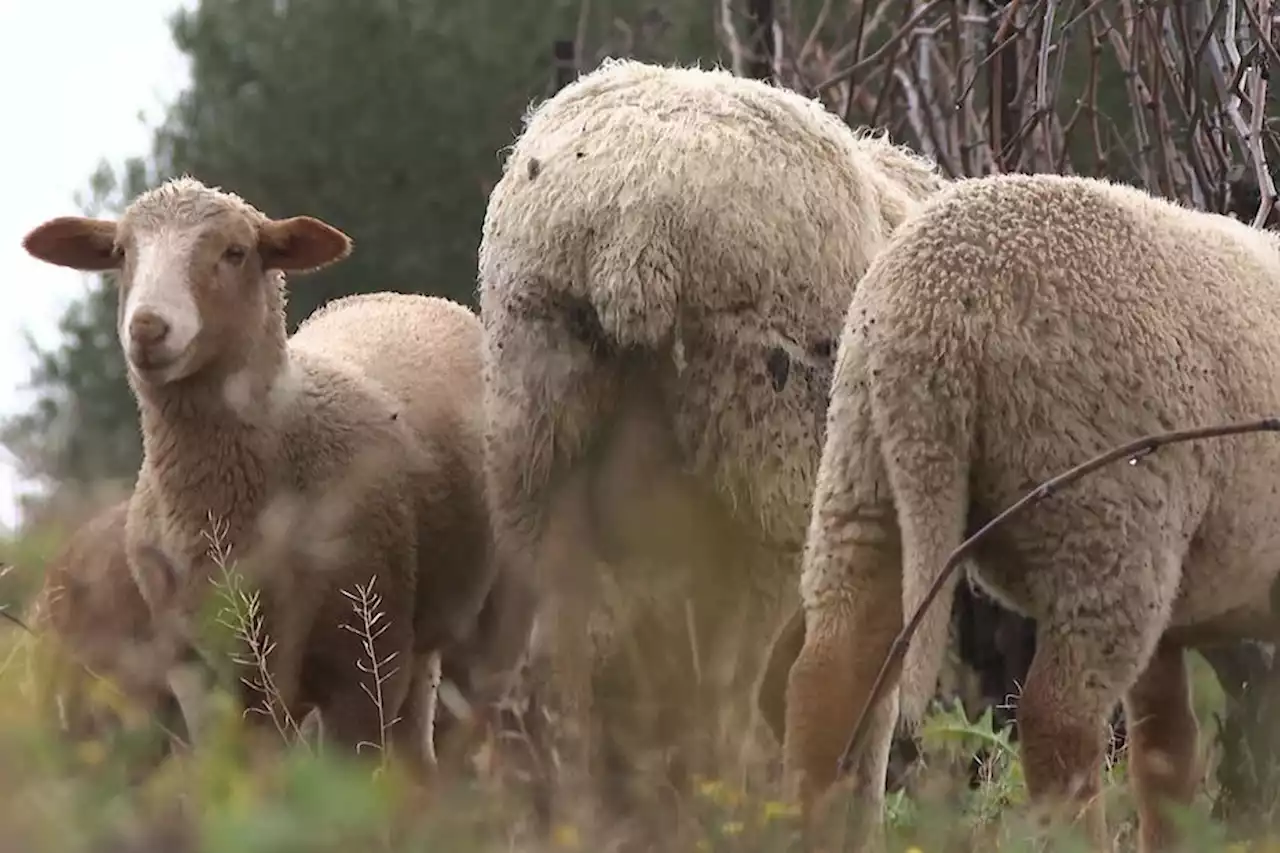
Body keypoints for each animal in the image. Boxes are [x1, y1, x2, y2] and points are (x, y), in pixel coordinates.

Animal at [22, 180, 499, 778]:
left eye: (235, 252)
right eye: (121, 252)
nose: (148, 328)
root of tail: (398, 296)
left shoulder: (363, 665)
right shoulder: (202, 674)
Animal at [778, 167, 1280, 850]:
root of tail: (930, 312)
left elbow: (1166, 751)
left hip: (864, 471)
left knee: (828, 674)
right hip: (1106, 511)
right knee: (1057, 718)